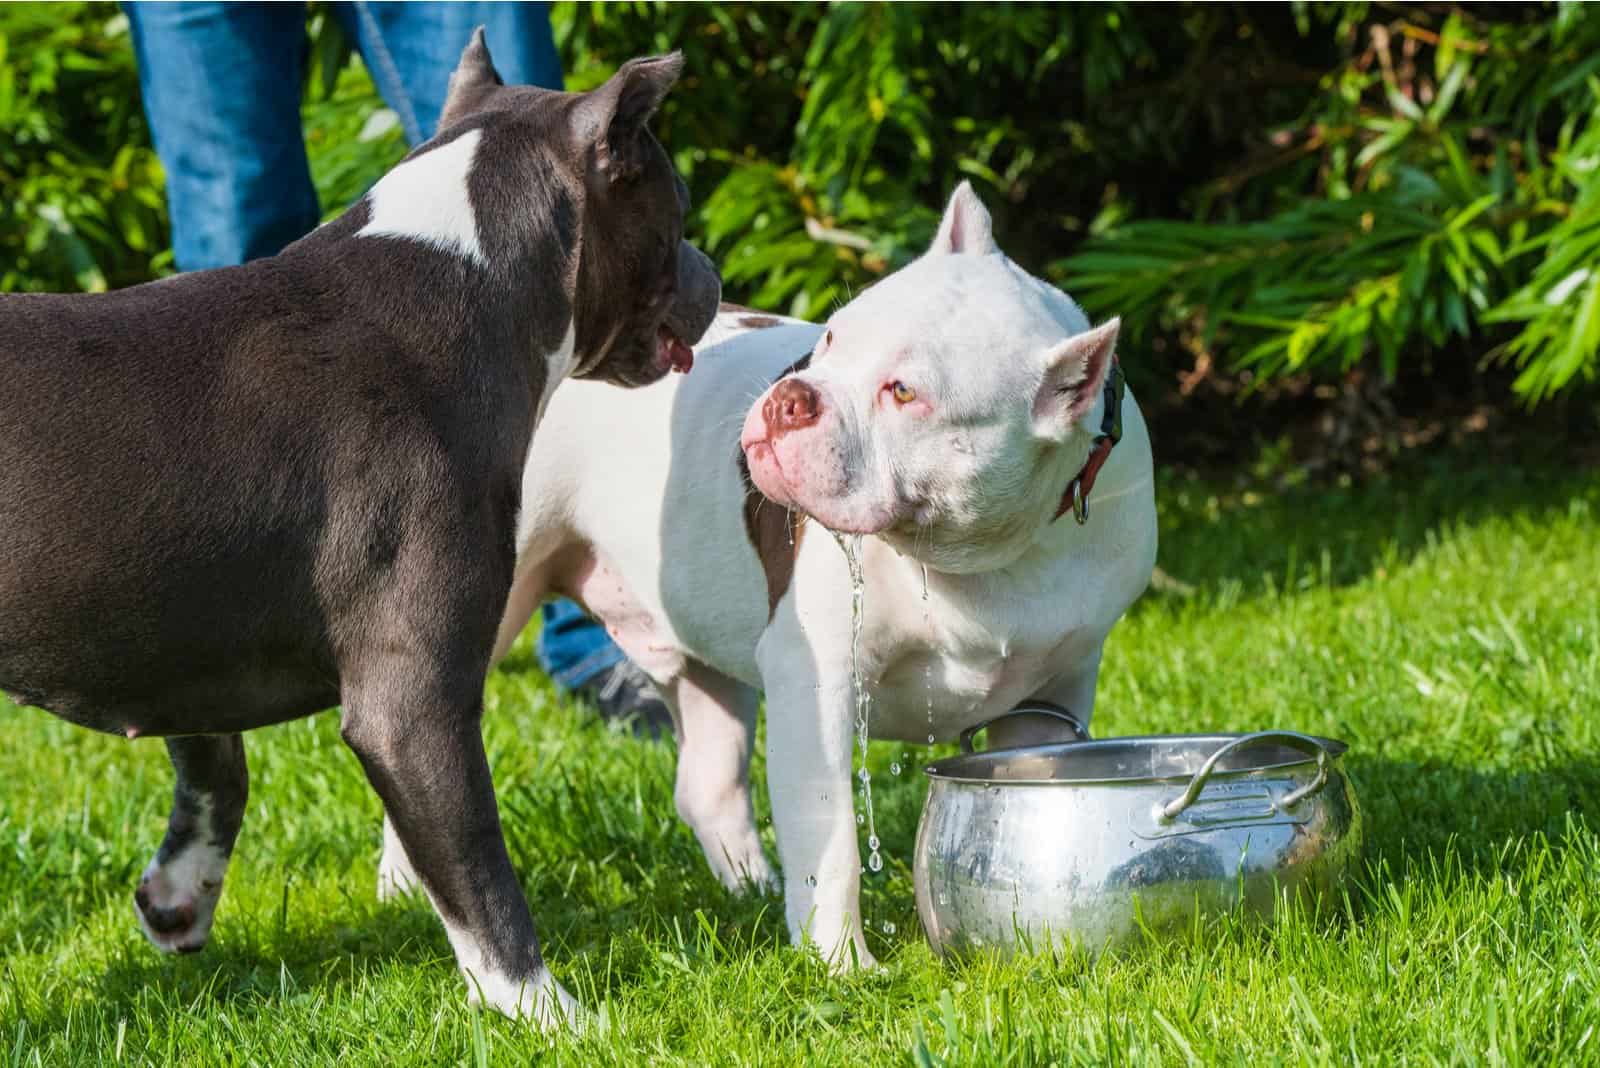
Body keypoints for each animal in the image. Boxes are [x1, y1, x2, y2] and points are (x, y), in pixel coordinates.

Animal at [377, 183, 1152, 965]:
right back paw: (401, 890)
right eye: (832, 338)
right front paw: (841, 963)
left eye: (904, 393)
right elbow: (831, 836)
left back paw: (748, 886)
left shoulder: (1050, 699)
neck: (974, 552)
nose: (790, 399)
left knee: (708, 780)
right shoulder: (819, 681)